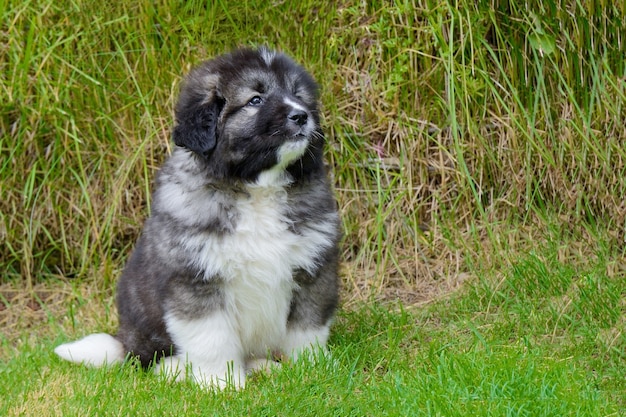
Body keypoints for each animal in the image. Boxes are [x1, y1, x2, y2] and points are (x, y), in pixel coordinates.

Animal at [56, 47, 342, 388]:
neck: (256, 186)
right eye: (255, 100)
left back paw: (263, 366)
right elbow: (212, 338)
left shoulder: (312, 269)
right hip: (144, 329)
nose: (301, 115)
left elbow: (306, 327)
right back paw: (176, 369)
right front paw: (223, 384)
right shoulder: (195, 280)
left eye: (298, 94)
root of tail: (124, 340)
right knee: (146, 359)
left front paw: (311, 368)